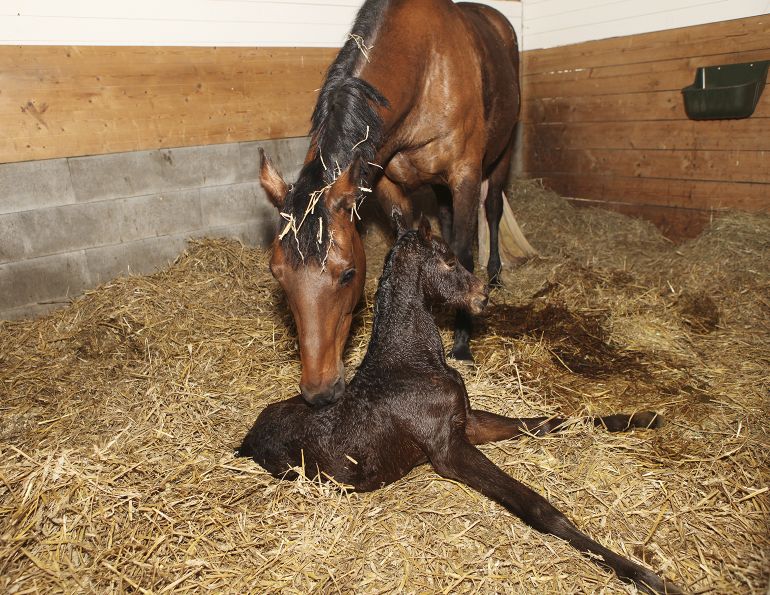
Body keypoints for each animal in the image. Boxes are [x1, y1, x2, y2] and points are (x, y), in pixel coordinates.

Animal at [238, 217, 683, 594]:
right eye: (449, 259)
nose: (483, 294)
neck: (411, 364)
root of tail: (248, 438)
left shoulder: (467, 423)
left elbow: (546, 422)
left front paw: (643, 417)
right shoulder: (448, 451)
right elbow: (538, 506)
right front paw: (648, 577)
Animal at [260, 0, 522, 405]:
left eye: (348, 274)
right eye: (277, 274)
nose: (319, 391)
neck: (427, 68)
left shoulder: (465, 173)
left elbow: (463, 251)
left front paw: (462, 343)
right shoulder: (384, 181)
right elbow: (407, 243)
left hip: (502, 154)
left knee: (491, 209)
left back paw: (494, 274)